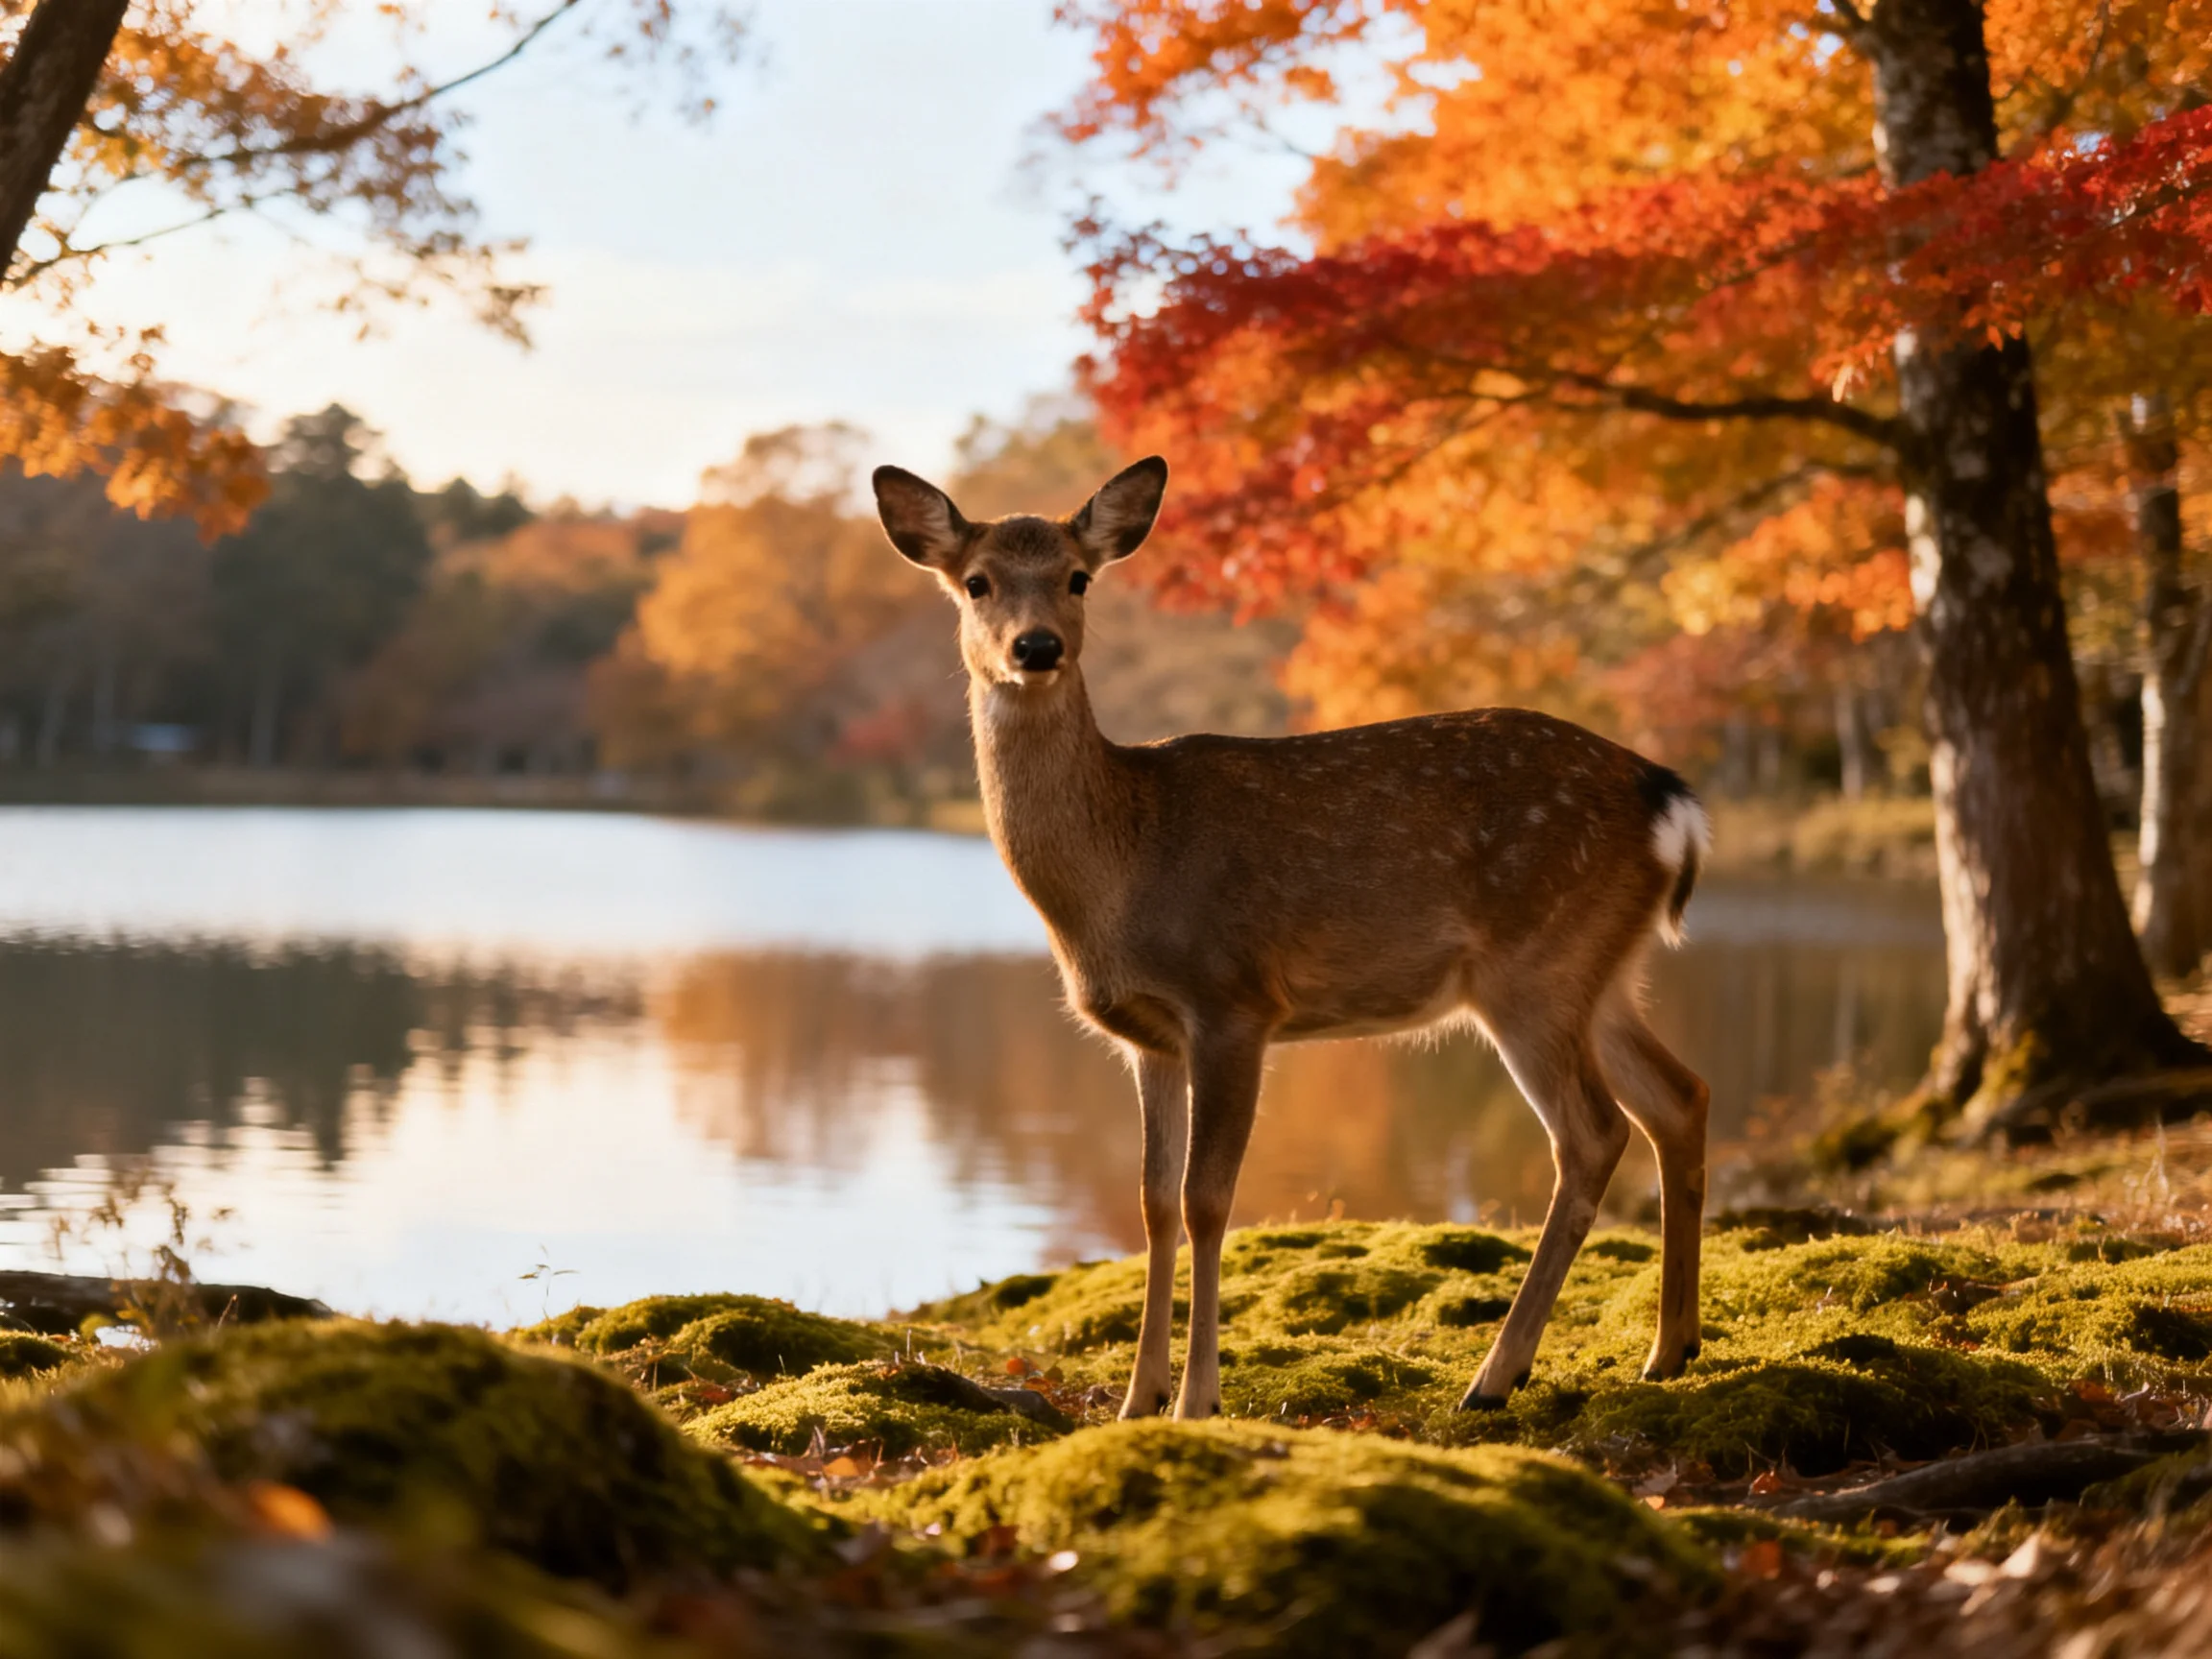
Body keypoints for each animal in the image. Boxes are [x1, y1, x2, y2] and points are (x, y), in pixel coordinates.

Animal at [872, 455, 1713, 1421]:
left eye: (1078, 577)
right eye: (976, 582)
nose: (1037, 647)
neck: (1120, 868)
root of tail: (1669, 801)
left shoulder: (1233, 1000)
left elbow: (1208, 1198)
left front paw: (1197, 1400)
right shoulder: (1148, 1037)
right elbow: (1153, 1201)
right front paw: (1137, 1400)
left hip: (1533, 968)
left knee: (1593, 1135)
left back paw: (1497, 1376)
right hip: (1601, 971)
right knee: (1680, 1097)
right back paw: (1668, 1351)